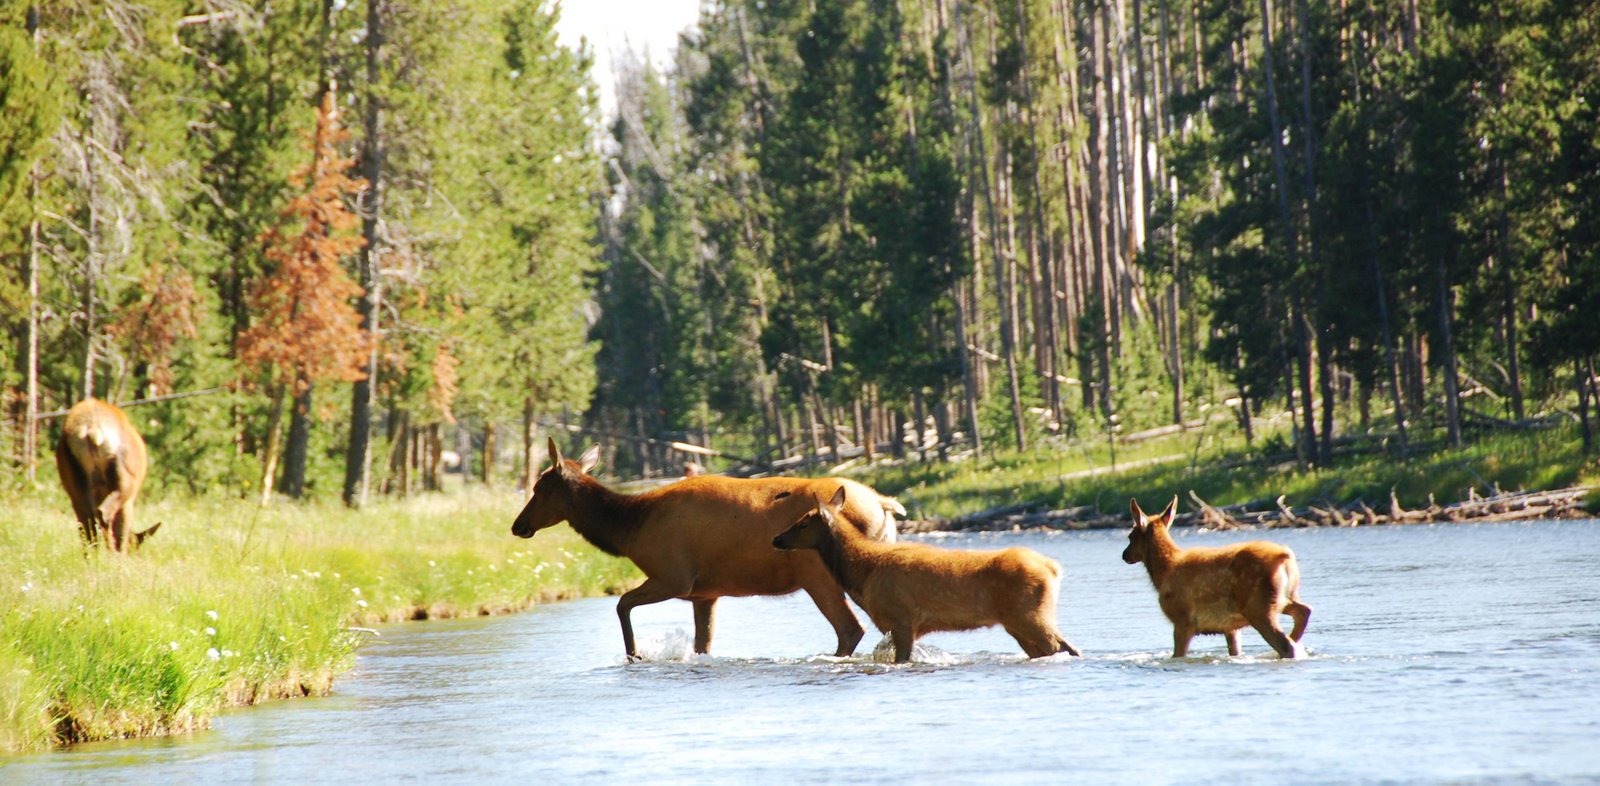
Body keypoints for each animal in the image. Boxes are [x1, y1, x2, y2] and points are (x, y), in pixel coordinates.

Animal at [55, 398, 161, 552]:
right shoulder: (129, 500)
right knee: (104, 514)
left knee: (87, 525)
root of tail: (91, 429)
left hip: (73, 483)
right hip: (125, 480)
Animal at [511, 438, 905, 661]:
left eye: (540, 488)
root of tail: (883, 504)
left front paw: (635, 655)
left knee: (850, 629)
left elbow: (621, 604)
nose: (518, 525)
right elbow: (703, 645)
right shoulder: (704, 594)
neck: (629, 529)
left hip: (818, 574)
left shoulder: (673, 577)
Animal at [772, 487, 1081, 663]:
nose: (776, 539)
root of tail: (1053, 568)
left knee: (1062, 647)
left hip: (1030, 614)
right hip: (1019, 622)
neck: (862, 573)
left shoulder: (901, 617)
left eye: (802, 523)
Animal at [1122, 496, 1312, 659]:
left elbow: (1178, 654)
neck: (1163, 573)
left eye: (1130, 536)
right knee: (1304, 611)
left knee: (1286, 644)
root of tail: (1284, 557)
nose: (1124, 555)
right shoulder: (1230, 627)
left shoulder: (1183, 619)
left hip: (1259, 606)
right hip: (1283, 598)